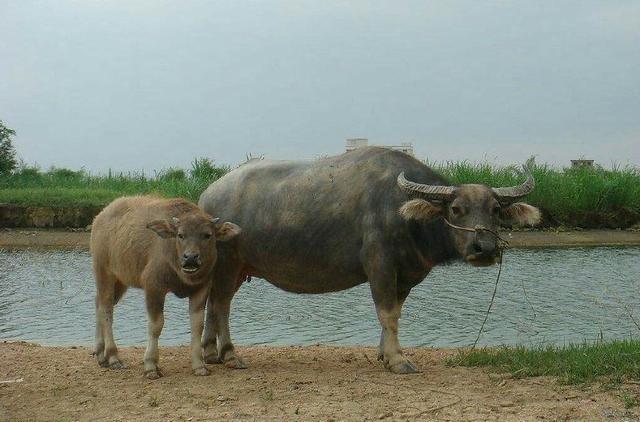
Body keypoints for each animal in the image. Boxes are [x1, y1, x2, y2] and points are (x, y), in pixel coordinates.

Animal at [89, 195, 240, 380]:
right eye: (180, 235)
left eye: (207, 235)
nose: (190, 258)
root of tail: (100, 217)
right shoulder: (153, 287)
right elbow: (156, 325)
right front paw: (151, 365)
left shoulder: (201, 289)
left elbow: (197, 325)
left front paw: (199, 365)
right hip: (104, 273)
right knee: (106, 309)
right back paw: (112, 356)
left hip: (120, 281)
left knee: (99, 304)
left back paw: (100, 354)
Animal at [200, 147, 540, 374]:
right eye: (456, 209)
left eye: (495, 210)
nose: (485, 248)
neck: (404, 213)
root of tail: (207, 197)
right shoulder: (380, 265)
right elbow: (386, 312)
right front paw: (398, 360)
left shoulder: (405, 275)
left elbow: (396, 313)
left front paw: (384, 353)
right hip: (229, 263)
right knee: (221, 305)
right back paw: (229, 355)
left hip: (234, 269)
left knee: (213, 303)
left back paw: (209, 353)